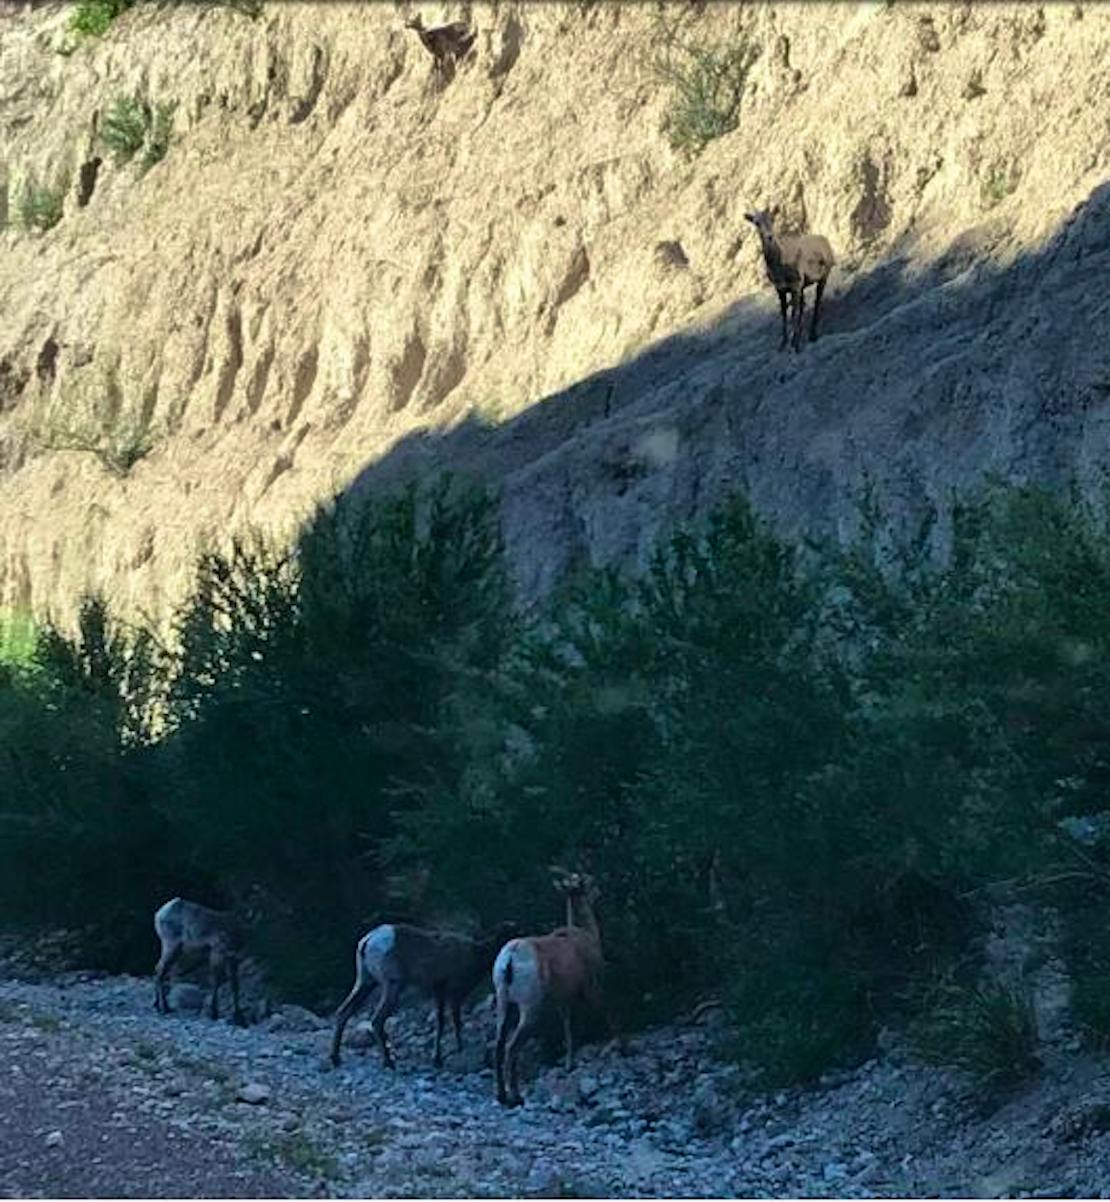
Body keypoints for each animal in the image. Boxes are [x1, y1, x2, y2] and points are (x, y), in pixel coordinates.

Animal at [152, 899, 245, 1028]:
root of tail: (159, 913)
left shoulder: (233, 959)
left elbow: (235, 985)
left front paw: (239, 1018)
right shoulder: (217, 952)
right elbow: (216, 981)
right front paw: (214, 1013)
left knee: (159, 970)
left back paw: (159, 1006)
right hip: (171, 946)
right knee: (160, 970)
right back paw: (164, 1008)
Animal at [329, 918, 521, 1072]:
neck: (475, 956)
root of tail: (367, 941)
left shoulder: (438, 991)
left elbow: (440, 1023)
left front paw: (437, 1060)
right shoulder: (454, 992)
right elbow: (456, 1022)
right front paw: (459, 1049)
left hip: (366, 982)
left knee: (343, 1012)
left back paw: (336, 1058)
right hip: (392, 985)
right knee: (377, 1020)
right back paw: (388, 1063)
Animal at [493, 865, 620, 1105]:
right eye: (588, 882)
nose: (599, 889)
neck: (587, 936)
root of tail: (511, 957)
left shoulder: (563, 999)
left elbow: (567, 1026)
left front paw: (569, 1064)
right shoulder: (591, 987)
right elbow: (606, 1011)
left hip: (504, 1004)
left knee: (499, 1044)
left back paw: (502, 1095)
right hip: (529, 1008)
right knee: (511, 1047)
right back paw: (516, 1096)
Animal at [740, 206, 837, 350]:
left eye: (772, 219)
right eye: (757, 222)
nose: (770, 237)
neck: (780, 263)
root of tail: (826, 243)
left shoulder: (795, 286)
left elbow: (793, 313)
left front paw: (795, 344)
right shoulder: (781, 289)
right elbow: (785, 314)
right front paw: (783, 344)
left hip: (823, 277)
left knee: (817, 301)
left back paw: (812, 336)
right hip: (803, 287)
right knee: (803, 305)